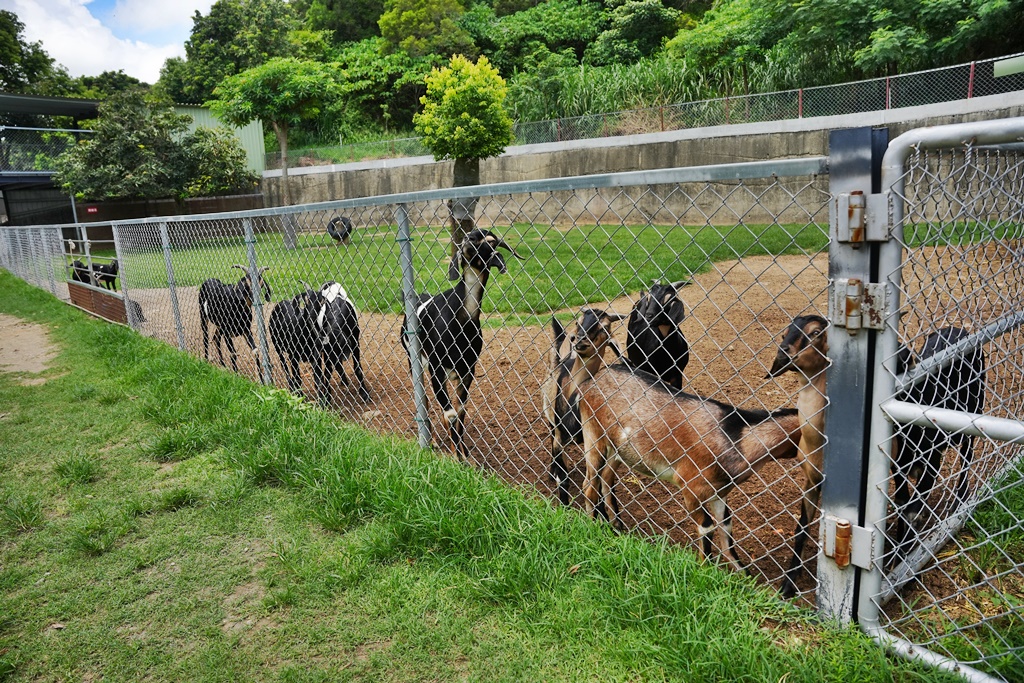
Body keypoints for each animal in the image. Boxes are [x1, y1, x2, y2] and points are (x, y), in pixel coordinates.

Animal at [401, 228, 524, 458]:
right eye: (470, 236)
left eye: (490, 241)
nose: (469, 240)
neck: (462, 320)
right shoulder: (437, 368)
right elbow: (449, 412)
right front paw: (455, 456)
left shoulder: (468, 370)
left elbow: (460, 411)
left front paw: (464, 453)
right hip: (414, 359)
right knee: (423, 398)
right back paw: (431, 441)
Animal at [577, 319, 806, 573]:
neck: (736, 434)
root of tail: (590, 383)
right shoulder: (691, 486)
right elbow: (707, 526)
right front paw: (704, 569)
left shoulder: (719, 491)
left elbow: (726, 526)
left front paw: (741, 573)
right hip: (593, 436)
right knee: (590, 484)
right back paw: (593, 527)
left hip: (618, 449)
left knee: (607, 479)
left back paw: (616, 527)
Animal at [892, 325, 987, 557]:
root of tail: (956, 328)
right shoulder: (896, 466)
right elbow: (902, 502)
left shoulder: (932, 461)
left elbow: (914, 510)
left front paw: (905, 549)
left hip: (974, 412)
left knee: (967, 455)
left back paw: (961, 497)